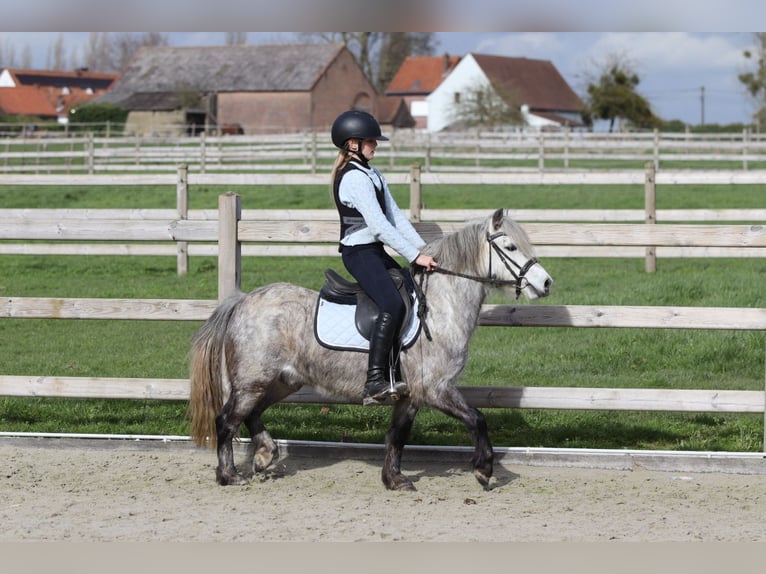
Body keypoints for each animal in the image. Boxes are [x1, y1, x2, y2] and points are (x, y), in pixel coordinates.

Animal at [188, 208, 553, 491]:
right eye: (510, 246)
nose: (546, 283)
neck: (440, 306)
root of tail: (242, 301)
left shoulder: (409, 394)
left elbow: (397, 436)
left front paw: (394, 479)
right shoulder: (434, 388)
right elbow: (477, 419)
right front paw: (483, 470)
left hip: (281, 381)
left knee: (252, 414)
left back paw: (264, 454)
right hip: (253, 381)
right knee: (227, 420)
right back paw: (229, 475)